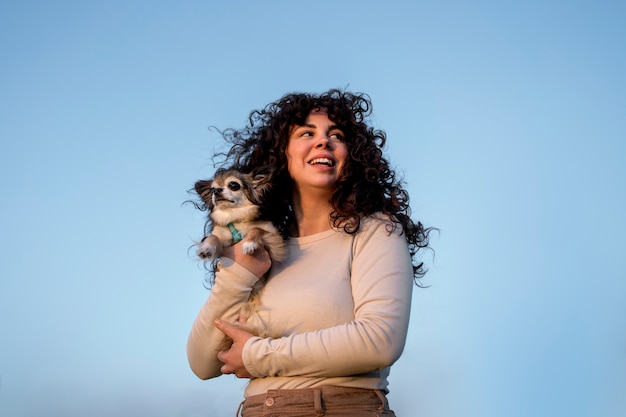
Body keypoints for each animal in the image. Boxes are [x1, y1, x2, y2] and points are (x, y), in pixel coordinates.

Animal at [193, 166, 286, 332]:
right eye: (212, 189)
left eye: (233, 185)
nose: (216, 191)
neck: (235, 218)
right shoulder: (223, 243)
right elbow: (213, 237)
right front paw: (206, 248)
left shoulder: (275, 241)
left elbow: (256, 229)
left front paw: (249, 244)